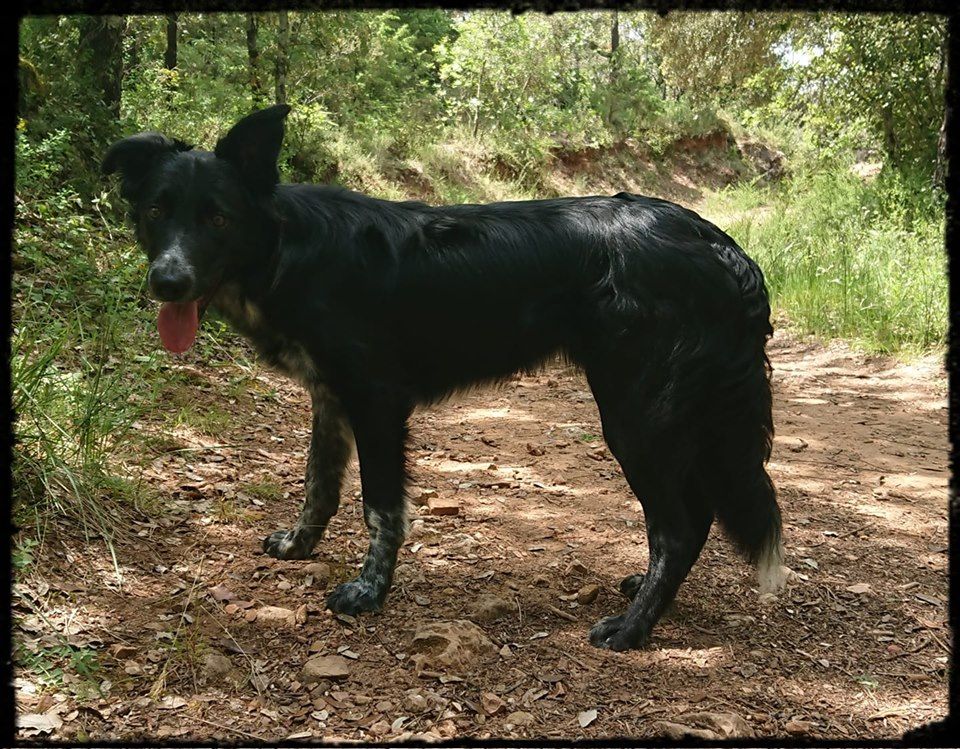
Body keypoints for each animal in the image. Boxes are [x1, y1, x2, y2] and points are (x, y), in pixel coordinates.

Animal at [105, 105, 784, 648]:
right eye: (157, 211)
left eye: (217, 219)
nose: (167, 282)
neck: (288, 250)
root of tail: (722, 245)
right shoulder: (330, 397)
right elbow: (318, 486)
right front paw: (299, 547)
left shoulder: (377, 401)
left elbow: (380, 507)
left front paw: (368, 592)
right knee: (686, 518)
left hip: (635, 415)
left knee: (679, 525)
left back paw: (634, 627)